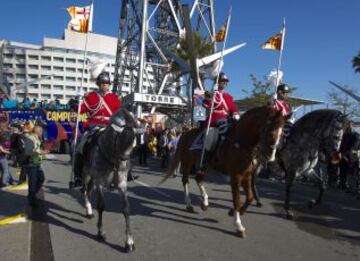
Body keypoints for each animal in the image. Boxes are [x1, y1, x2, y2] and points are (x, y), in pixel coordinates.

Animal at [81, 107, 138, 250]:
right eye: (120, 139)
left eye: (134, 144)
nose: (123, 165)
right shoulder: (100, 182)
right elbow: (101, 205)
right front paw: (100, 232)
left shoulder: (122, 183)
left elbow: (126, 208)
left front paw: (129, 241)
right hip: (86, 174)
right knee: (84, 190)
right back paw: (88, 209)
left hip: (93, 178)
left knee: (88, 191)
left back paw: (88, 210)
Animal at [162, 105, 284, 236]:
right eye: (270, 130)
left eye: (281, 132)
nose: (271, 156)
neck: (241, 141)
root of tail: (185, 133)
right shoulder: (236, 176)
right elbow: (237, 199)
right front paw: (239, 225)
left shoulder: (247, 175)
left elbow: (250, 197)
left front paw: (236, 212)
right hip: (187, 161)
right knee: (185, 180)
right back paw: (189, 204)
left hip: (204, 165)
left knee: (198, 179)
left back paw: (205, 203)